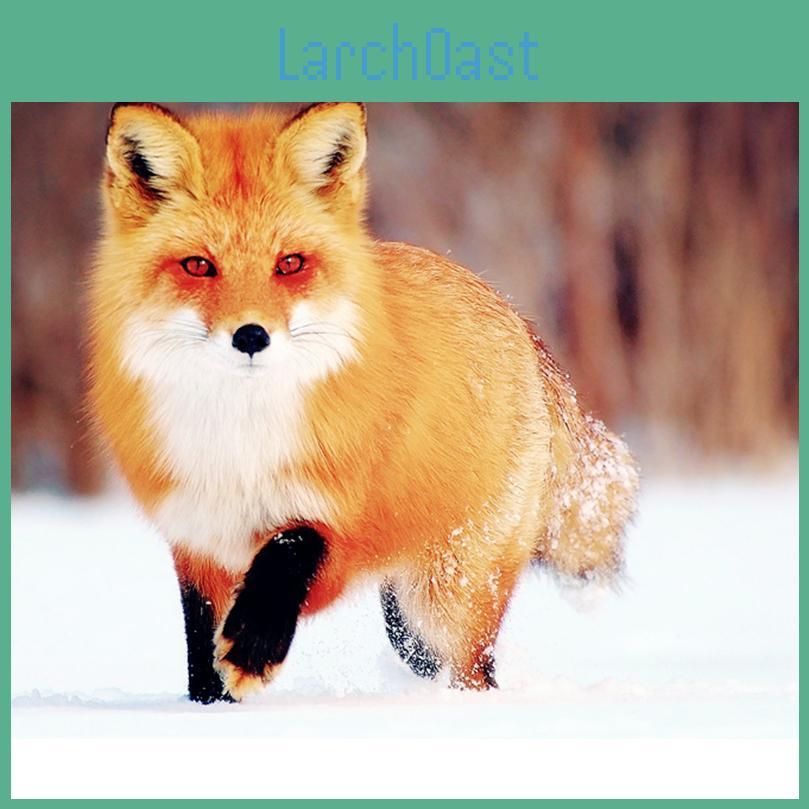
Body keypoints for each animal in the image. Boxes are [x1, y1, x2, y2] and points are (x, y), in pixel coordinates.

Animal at [87, 102, 639, 703]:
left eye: (289, 264)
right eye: (197, 266)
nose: (252, 336)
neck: (241, 445)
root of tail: (516, 316)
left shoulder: (341, 519)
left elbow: (289, 549)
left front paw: (254, 649)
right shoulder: (197, 539)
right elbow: (200, 654)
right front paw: (210, 707)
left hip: (449, 596)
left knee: (475, 670)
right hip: (409, 618)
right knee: (426, 656)